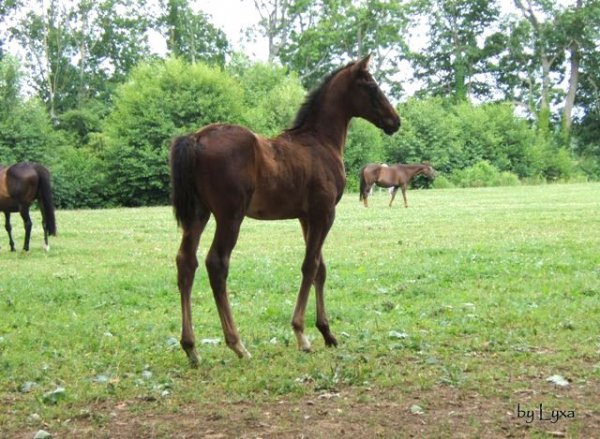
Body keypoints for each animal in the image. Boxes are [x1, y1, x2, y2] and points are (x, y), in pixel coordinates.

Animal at [171, 54, 400, 368]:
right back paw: (237, 344)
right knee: (216, 263)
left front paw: (327, 333)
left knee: (186, 262)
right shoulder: (325, 213)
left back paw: (191, 347)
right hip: (230, 216)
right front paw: (302, 334)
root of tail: (196, 138)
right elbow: (310, 266)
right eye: (372, 87)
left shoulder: (306, 217)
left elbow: (321, 268)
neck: (319, 141)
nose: (395, 121)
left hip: (199, 213)